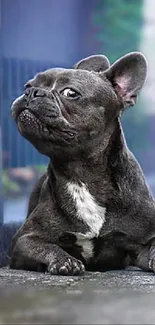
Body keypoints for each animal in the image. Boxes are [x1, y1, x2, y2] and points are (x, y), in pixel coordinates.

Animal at [10, 52, 155, 274]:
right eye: (28, 85)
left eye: (70, 93)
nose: (31, 92)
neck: (80, 173)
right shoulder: (22, 240)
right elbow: (44, 245)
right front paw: (64, 260)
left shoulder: (144, 240)